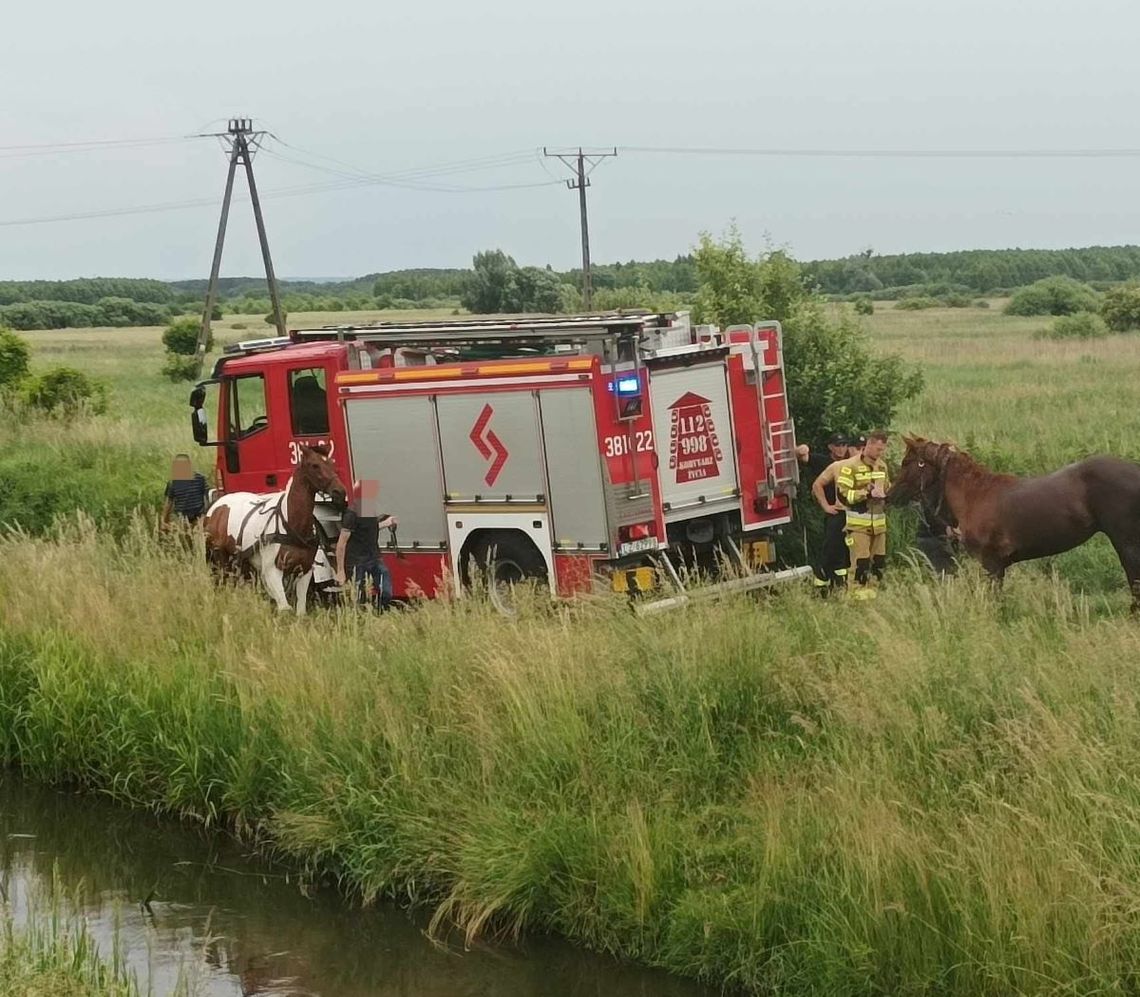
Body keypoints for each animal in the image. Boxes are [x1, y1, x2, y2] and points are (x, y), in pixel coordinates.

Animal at [204, 446, 346, 615]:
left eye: (331, 463)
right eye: (314, 465)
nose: (340, 491)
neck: (291, 525)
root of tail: (216, 506)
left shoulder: (304, 571)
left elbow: (300, 611)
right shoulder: (272, 571)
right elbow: (284, 608)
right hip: (219, 559)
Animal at [889, 437, 1140, 606]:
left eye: (907, 462)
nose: (890, 495)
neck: (975, 495)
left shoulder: (991, 564)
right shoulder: (998, 567)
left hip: (1126, 543)